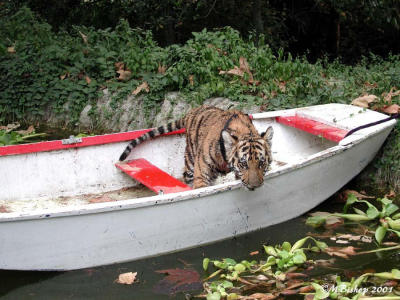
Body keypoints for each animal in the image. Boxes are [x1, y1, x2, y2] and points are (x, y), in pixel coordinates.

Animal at [119, 105, 274, 190]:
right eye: (243, 164)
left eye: (261, 163)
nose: (255, 186)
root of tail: (191, 112)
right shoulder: (202, 174)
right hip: (190, 164)